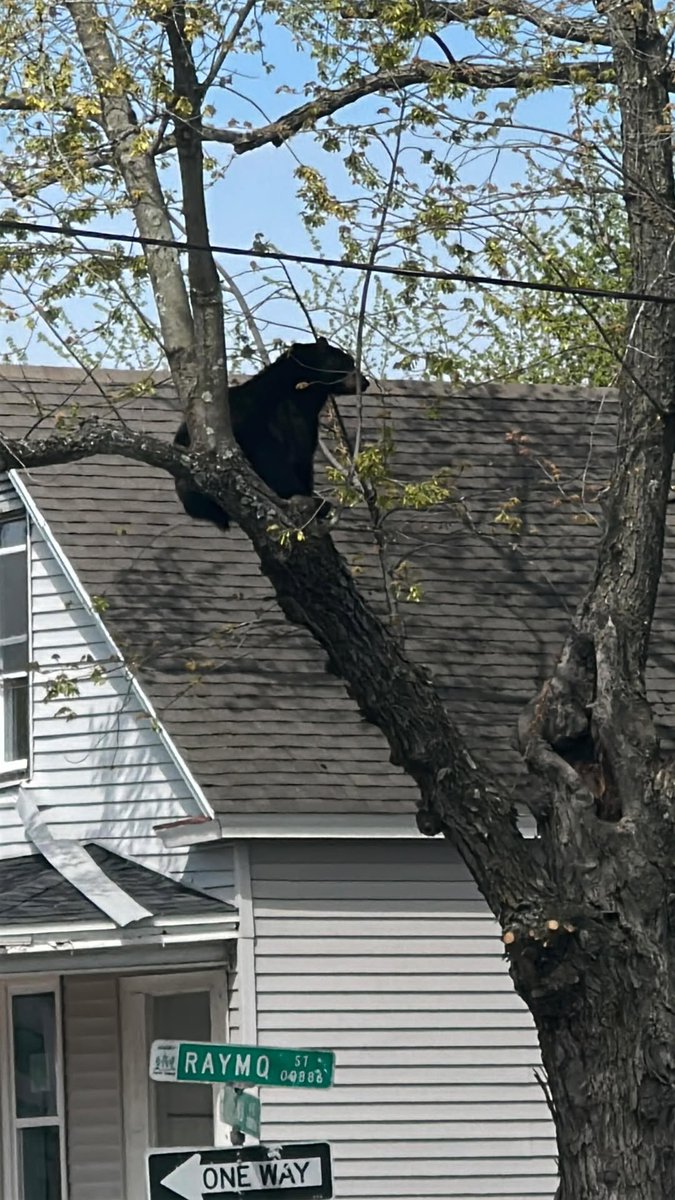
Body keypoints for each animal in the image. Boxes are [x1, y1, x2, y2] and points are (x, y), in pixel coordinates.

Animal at [174, 337, 369, 531]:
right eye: (348, 362)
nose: (365, 382)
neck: (300, 396)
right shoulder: (259, 417)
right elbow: (271, 458)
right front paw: (308, 498)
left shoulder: (306, 425)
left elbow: (303, 459)